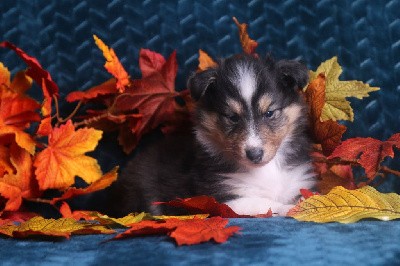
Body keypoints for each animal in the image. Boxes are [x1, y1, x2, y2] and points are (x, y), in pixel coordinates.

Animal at [109, 53, 316, 216]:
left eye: (269, 113)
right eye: (232, 117)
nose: (254, 154)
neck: (264, 170)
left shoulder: (298, 180)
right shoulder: (221, 198)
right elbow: (263, 203)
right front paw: (288, 208)